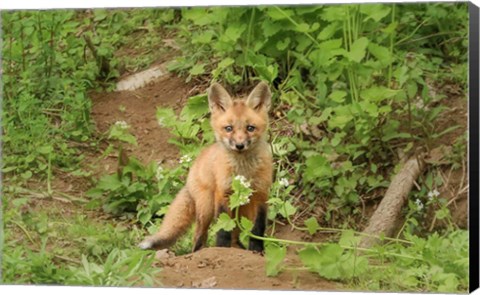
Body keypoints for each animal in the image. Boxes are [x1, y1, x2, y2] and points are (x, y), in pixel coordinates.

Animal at [140, 82, 274, 253]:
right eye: (228, 128)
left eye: (250, 128)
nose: (239, 145)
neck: (243, 170)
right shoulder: (223, 193)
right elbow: (223, 230)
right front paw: (222, 249)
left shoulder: (261, 195)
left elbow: (258, 228)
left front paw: (257, 250)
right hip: (207, 208)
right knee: (199, 236)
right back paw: (199, 252)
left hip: (242, 209)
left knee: (235, 236)